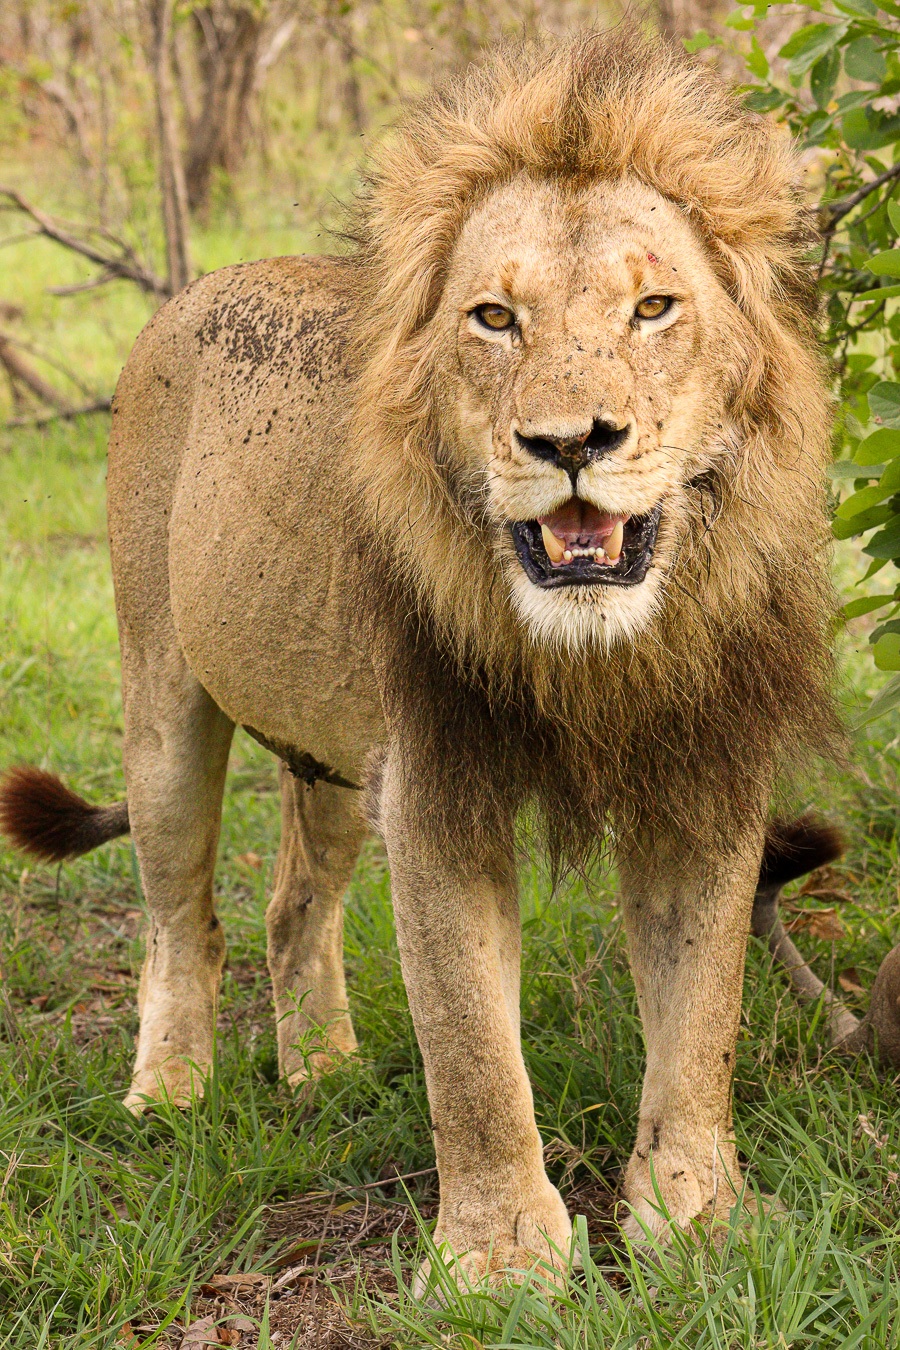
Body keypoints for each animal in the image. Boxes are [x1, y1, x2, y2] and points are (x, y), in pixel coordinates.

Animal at [0, 28, 842, 1286]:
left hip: (330, 751)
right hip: (163, 701)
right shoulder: (439, 788)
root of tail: (197, 288)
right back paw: (172, 1091)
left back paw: (324, 1071)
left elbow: (703, 1022)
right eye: (493, 318)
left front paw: (699, 1220)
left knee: (291, 906)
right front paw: (501, 1261)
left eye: (654, 306)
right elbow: (471, 1049)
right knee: (180, 919)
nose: (571, 442)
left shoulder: (700, 783)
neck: (594, 654)